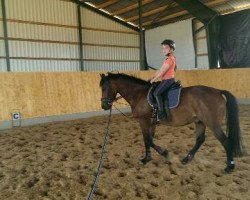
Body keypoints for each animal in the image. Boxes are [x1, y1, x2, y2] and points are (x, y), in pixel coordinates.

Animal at [99, 72, 244, 173]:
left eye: (104, 88)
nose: (104, 106)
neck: (139, 94)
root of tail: (218, 91)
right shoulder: (151, 124)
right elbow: (149, 140)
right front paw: (150, 157)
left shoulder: (144, 121)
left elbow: (147, 140)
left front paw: (161, 155)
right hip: (200, 122)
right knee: (200, 140)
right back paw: (187, 158)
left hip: (213, 125)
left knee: (226, 142)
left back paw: (229, 166)